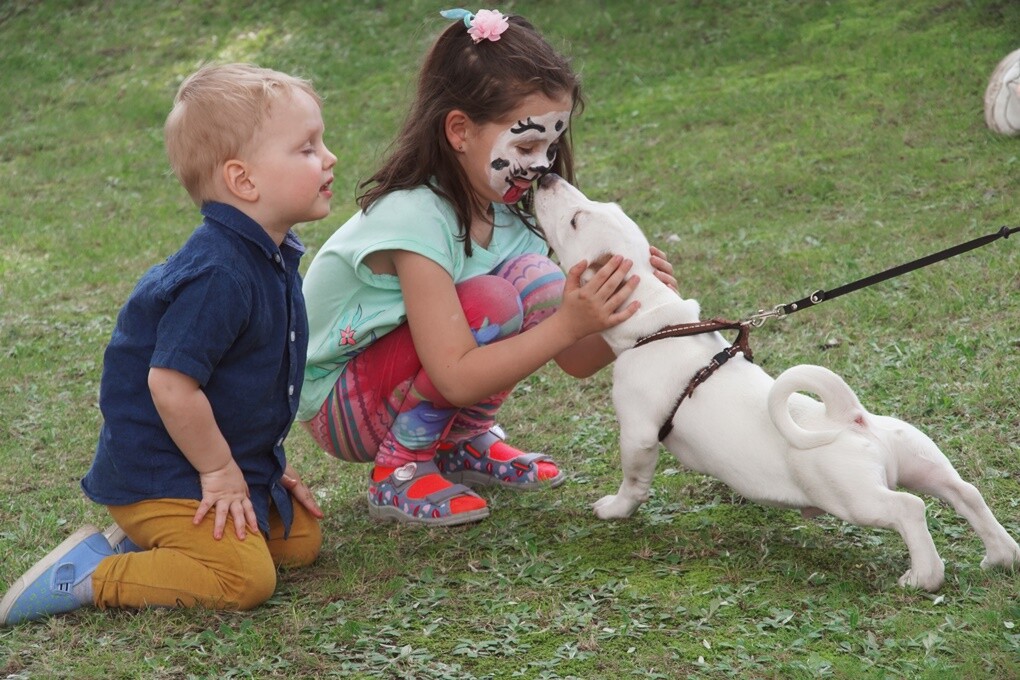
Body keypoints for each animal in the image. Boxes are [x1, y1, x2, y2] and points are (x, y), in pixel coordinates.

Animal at [533, 173, 1020, 591]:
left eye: (576, 220)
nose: (545, 176)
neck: (658, 323)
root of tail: (852, 419)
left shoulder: (637, 436)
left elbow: (633, 483)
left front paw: (613, 510)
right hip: (921, 461)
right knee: (965, 493)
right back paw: (1001, 555)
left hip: (855, 498)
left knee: (910, 508)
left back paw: (923, 577)